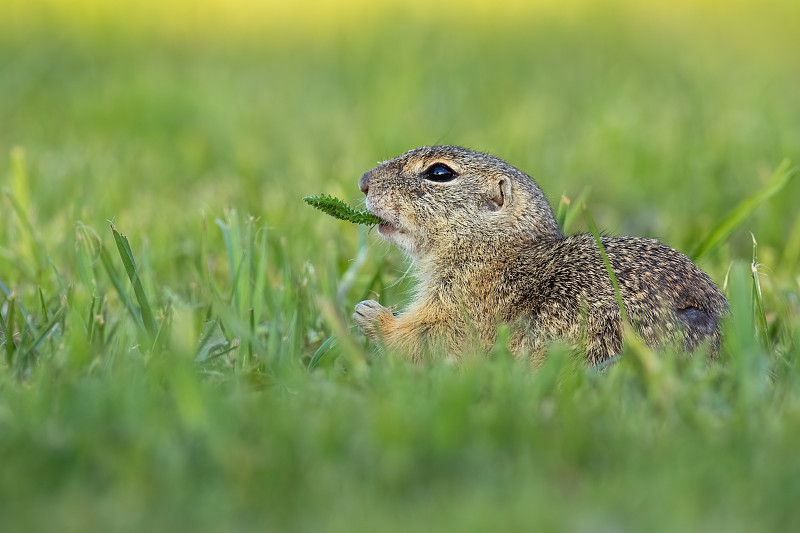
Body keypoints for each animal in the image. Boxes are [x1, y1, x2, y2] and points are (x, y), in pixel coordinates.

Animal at [354, 143, 728, 364]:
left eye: (439, 173)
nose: (363, 181)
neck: (494, 250)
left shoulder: (465, 306)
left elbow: (431, 340)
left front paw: (371, 314)